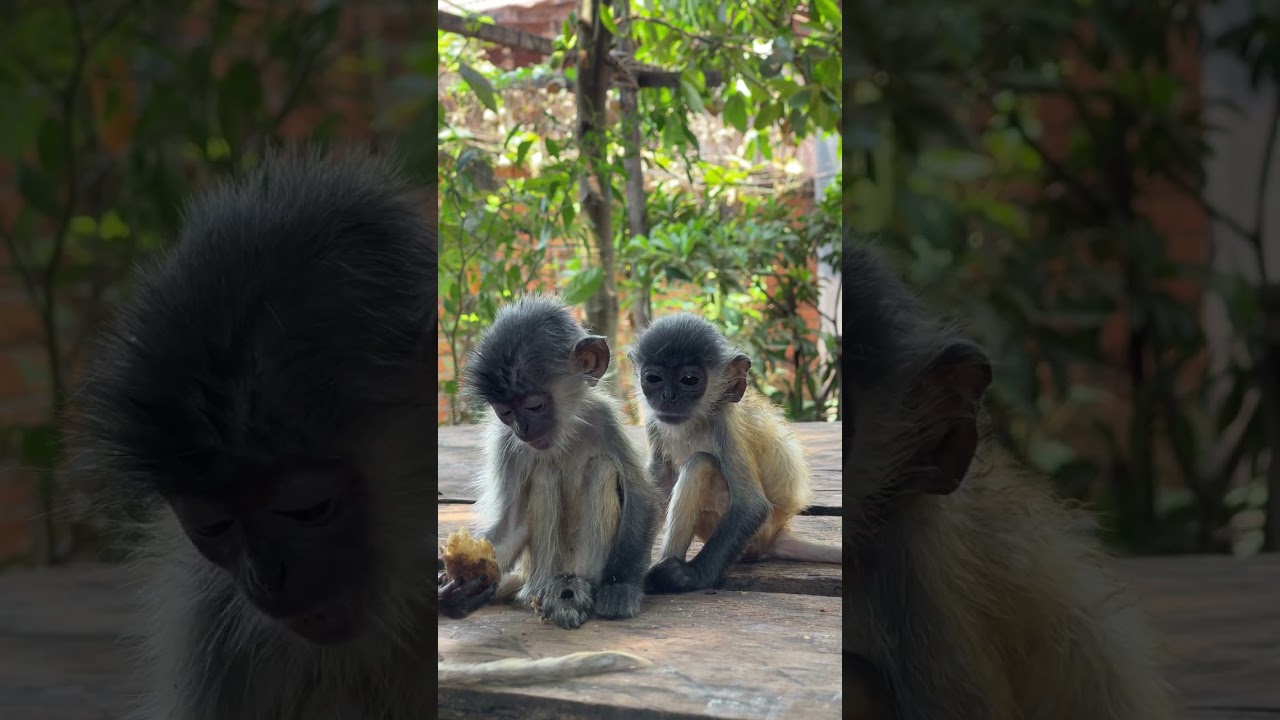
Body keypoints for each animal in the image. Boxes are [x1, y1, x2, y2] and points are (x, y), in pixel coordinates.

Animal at [459, 295, 662, 634]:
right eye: (505, 412)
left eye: (534, 405)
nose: (523, 429)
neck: (564, 435)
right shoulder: (505, 441)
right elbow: (511, 525)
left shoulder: (603, 417)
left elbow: (641, 496)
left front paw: (620, 586)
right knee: (543, 474)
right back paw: (552, 590)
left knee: (601, 468)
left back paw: (577, 586)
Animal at [628, 314, 842, 595]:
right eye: (653, 378)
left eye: (689, 380)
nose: (668, 396)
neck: (694, 424)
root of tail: (776, 533)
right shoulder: (654, 421)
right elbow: (660, 478)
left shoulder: (725, 424)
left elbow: (751, 505)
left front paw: (688, 576)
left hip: (753, 534)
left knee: (700, 463)